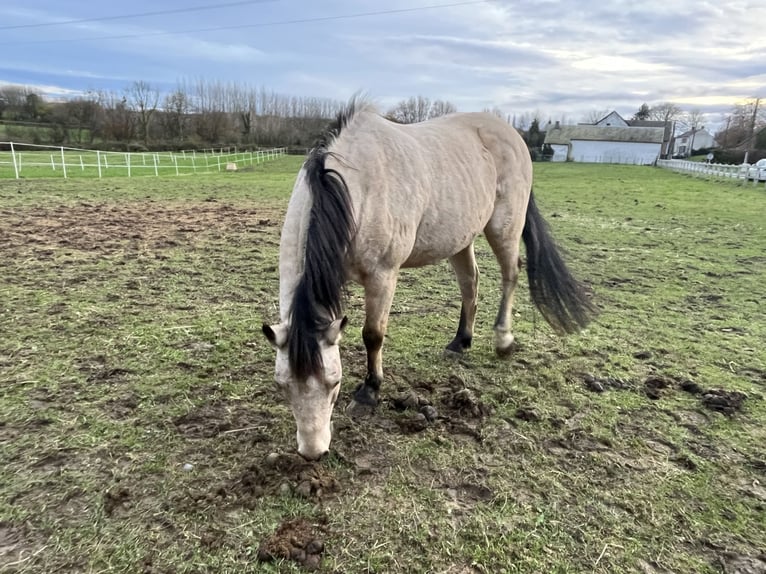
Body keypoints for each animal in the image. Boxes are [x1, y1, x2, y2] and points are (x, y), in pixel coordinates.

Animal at [264, 98, 600, 460]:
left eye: (334, 383)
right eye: (282, 386)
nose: (313, 451)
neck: (354, 188)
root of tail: (511, 135)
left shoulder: (383, 275)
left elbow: (373, 335)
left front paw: (369, 392)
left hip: (504, 229)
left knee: (510, 275)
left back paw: (503, 340)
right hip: (460, 238)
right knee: (471, 283)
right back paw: (460, 342)